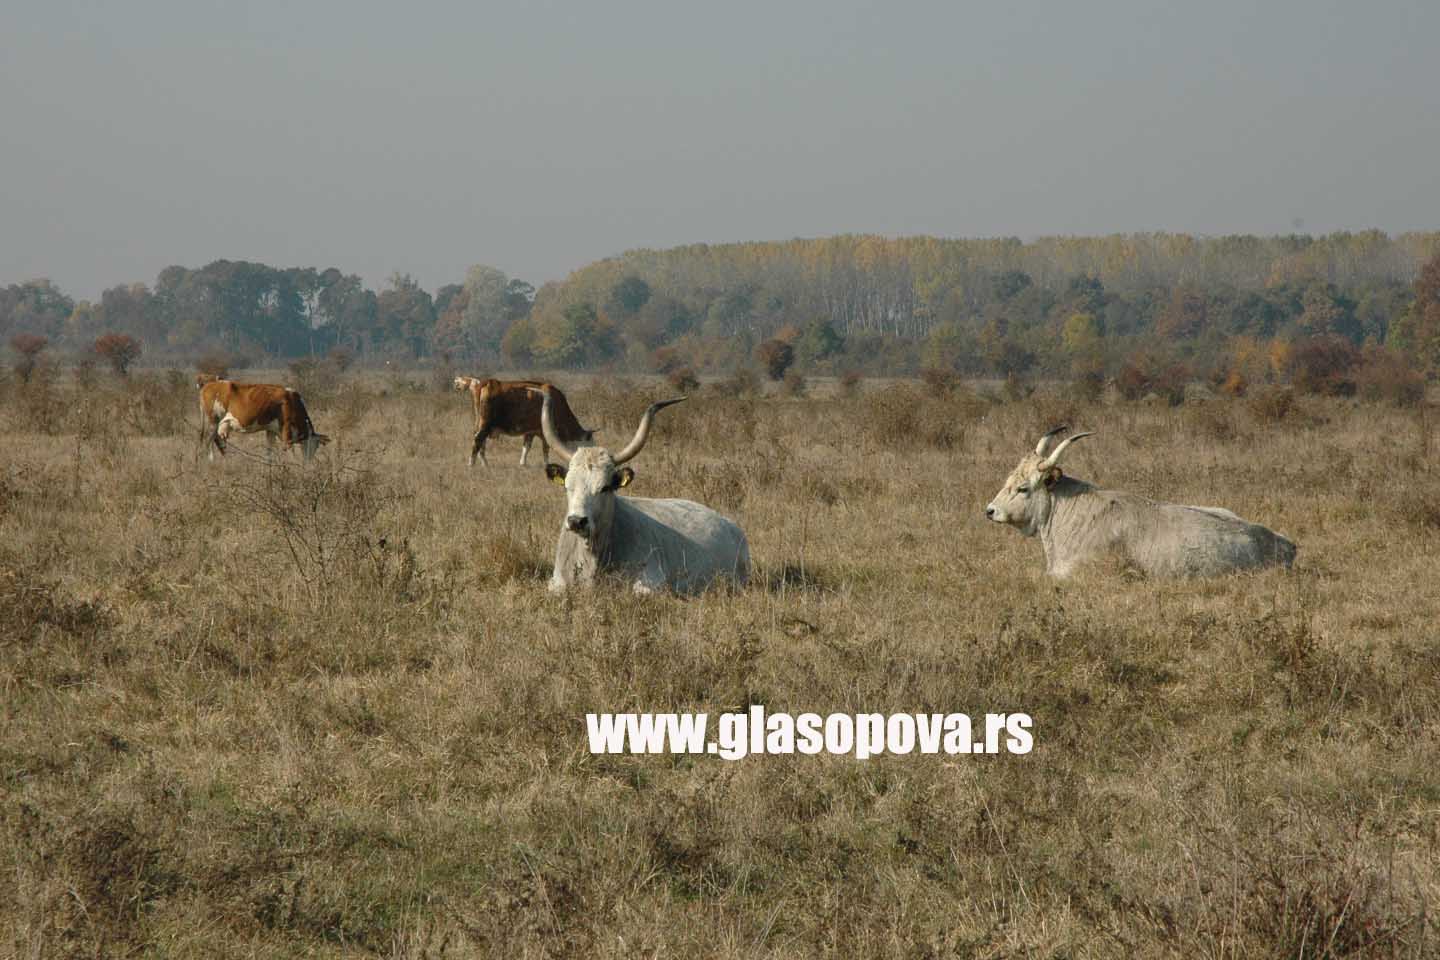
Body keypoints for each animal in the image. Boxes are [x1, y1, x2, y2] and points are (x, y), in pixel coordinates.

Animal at [198, 377, 329, 463]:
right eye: (313, 446)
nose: (308, 462)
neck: (292, 401)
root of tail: (208, 384)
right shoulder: (286, 428)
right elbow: (289, 449)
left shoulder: (271, 429)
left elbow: (270, 450)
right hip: (213, 420)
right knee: (209, 440)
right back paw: (211, 461)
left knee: (216, 440)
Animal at [452, 374, 593, 466]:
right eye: (590, 444)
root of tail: (487, 382)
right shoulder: (543, 431)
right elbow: (545, 449)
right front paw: (547, 464)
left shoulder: (530, 431)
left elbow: (526, 447)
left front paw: (522, 463)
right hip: (485, 424)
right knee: (478, 440)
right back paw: (472, 464)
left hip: (481, 423)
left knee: (481, 442)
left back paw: (485, 464)